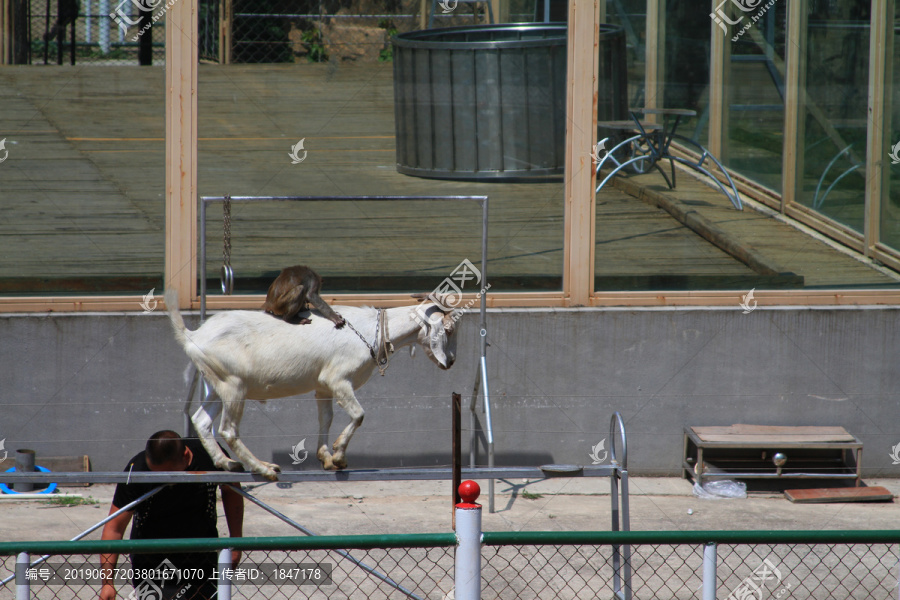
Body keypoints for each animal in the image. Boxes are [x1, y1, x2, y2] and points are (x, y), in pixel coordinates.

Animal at [163, 288, 458, 480]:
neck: (369, 332)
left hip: (216, 384)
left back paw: (228, 463)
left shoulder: (323, 387)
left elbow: (325, 418)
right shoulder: (338, 379)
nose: (452, 361)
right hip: (234, 385)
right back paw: (263, 468)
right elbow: (359, 414)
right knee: (228, 430)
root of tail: (192, 335)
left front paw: (326, 458)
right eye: (449, 329)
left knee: (202, 421)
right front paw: (339, 456)